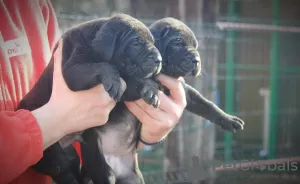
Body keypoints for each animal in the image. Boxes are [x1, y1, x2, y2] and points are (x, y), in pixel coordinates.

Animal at [15, 14, 164, 184]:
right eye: (136, 43)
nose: (159, 59)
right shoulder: (71, 71)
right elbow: (101, 65)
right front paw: (113, 79)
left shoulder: (126, 85)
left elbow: (134, 84)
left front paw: (151, 89)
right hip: (58, 155)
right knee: (66, 172)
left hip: (77, 156)